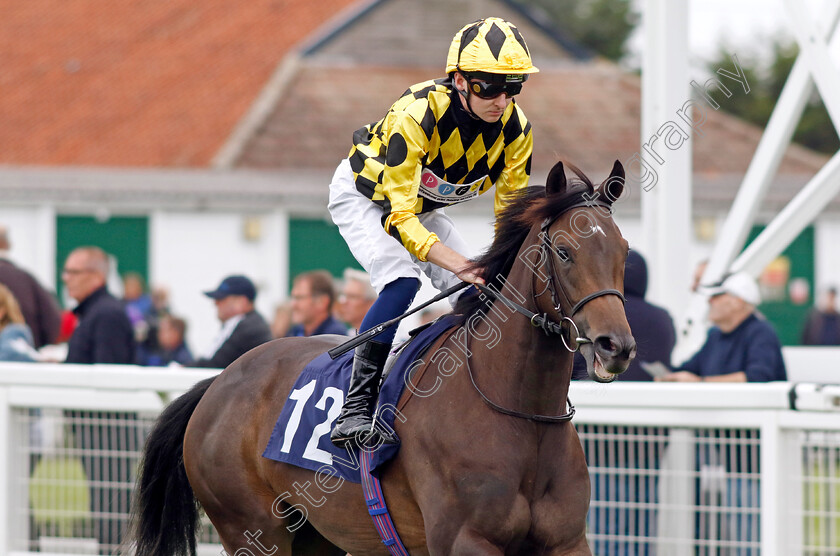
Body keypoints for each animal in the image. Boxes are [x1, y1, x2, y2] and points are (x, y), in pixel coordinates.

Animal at [128, 159, 632, 552]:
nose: (617, 346)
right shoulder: (465, 540)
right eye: (564, 251)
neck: (521, 414)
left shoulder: (567, 541)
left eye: (624, 250)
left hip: (317, 537)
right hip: (252, 529)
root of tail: (218, 382)